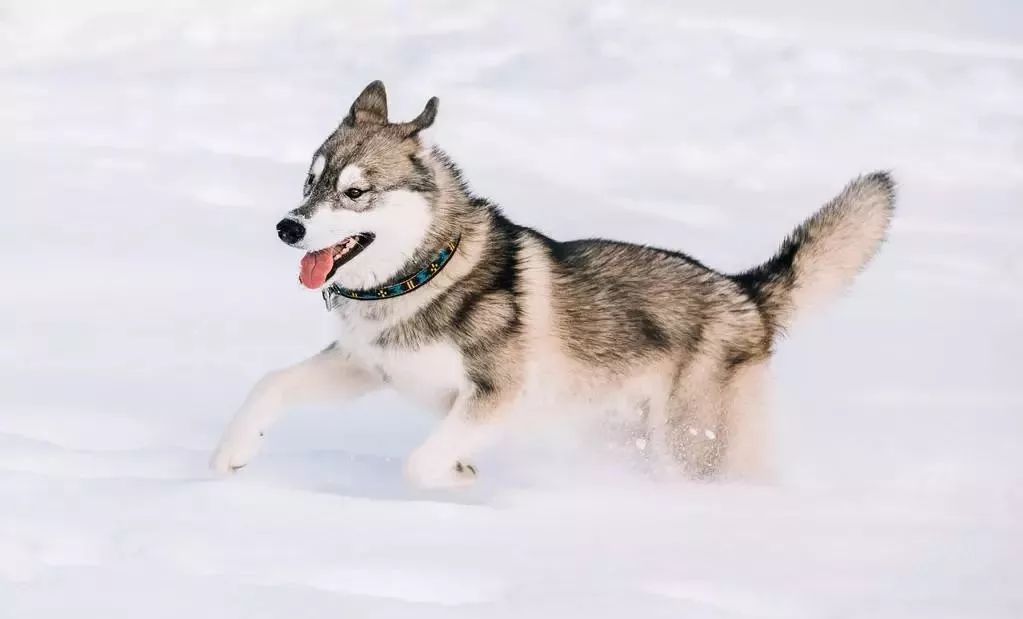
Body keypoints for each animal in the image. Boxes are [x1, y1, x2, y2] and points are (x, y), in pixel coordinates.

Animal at [209, 80, 896, 487]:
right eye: (310, 181)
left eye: (355, 192)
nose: (288, 228)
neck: (425, 274)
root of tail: (744, 293)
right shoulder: (366, 365)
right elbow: (270, 385)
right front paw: (230, 454)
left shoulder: (496, 395)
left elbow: (421, 463)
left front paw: (461, 476)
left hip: (691, 443)